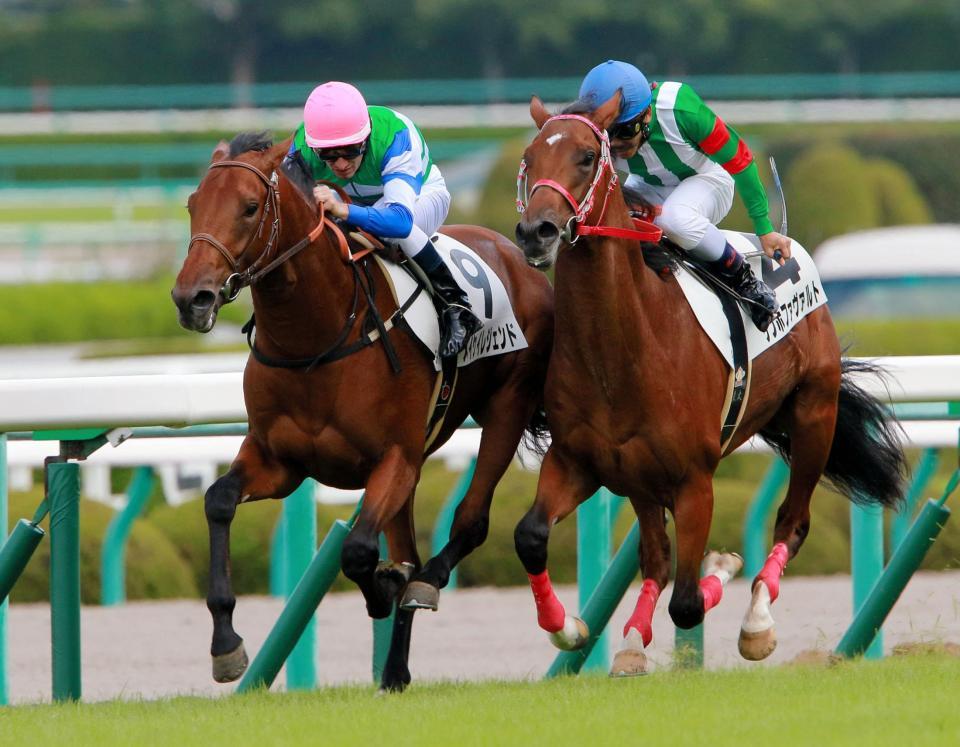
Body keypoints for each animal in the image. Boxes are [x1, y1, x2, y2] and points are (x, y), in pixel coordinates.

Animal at [171, 132, 554, 691]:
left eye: (248, 207)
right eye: (193, 204)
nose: (191, 298)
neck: (316, 337)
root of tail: (516, 254)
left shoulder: (394, 458)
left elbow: (357, 552)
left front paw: (385, 588)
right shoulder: (280, 460)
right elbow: (218, 500)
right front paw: (226, 645)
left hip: (506, 407)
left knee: (469, 521)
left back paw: (421, 585)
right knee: (410, 546)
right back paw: (394, 671)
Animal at [512, 93, 906, 675]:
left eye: (585, 156)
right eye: (530, 156)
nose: (536, 231)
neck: (623, 349)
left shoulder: (695, 480)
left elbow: (690, 601)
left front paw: (723, 567)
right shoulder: (578, 462)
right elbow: (531, 536)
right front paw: (570, 627)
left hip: (814, 414)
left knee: (792, 522)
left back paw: (757, 621)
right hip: (640, 478)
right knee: (656, 557)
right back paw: (632, 640)